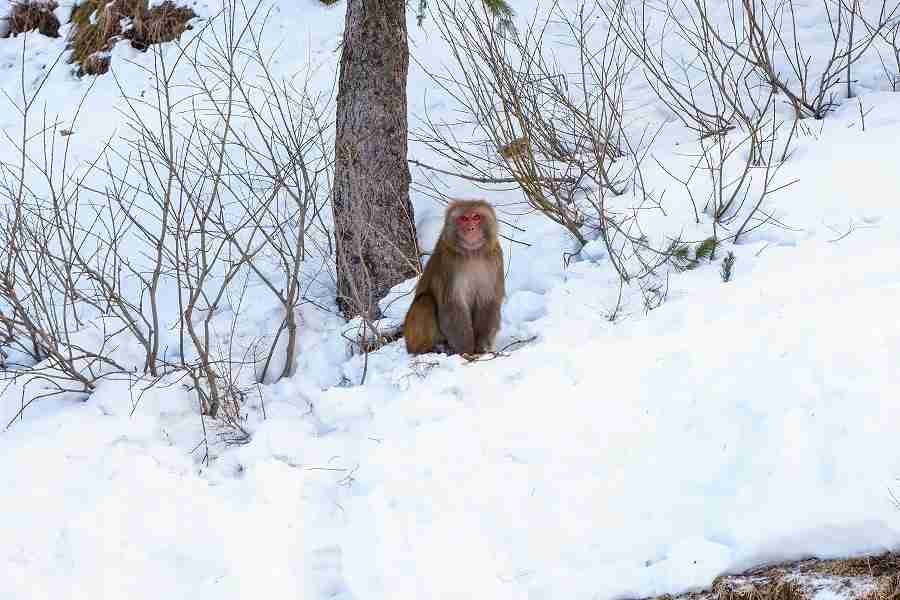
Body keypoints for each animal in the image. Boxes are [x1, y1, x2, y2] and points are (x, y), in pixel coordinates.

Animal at [402, 199, 502, 354]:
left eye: (476, 217)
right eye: (464, 219)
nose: (471, 228)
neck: (472, 253)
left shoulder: (495, 258)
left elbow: (488, 301)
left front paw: (481, 348)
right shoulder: (449, 264)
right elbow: (452, 304)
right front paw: (467, 351)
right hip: (411, 337)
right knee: (425, 301)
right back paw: (428, 348)